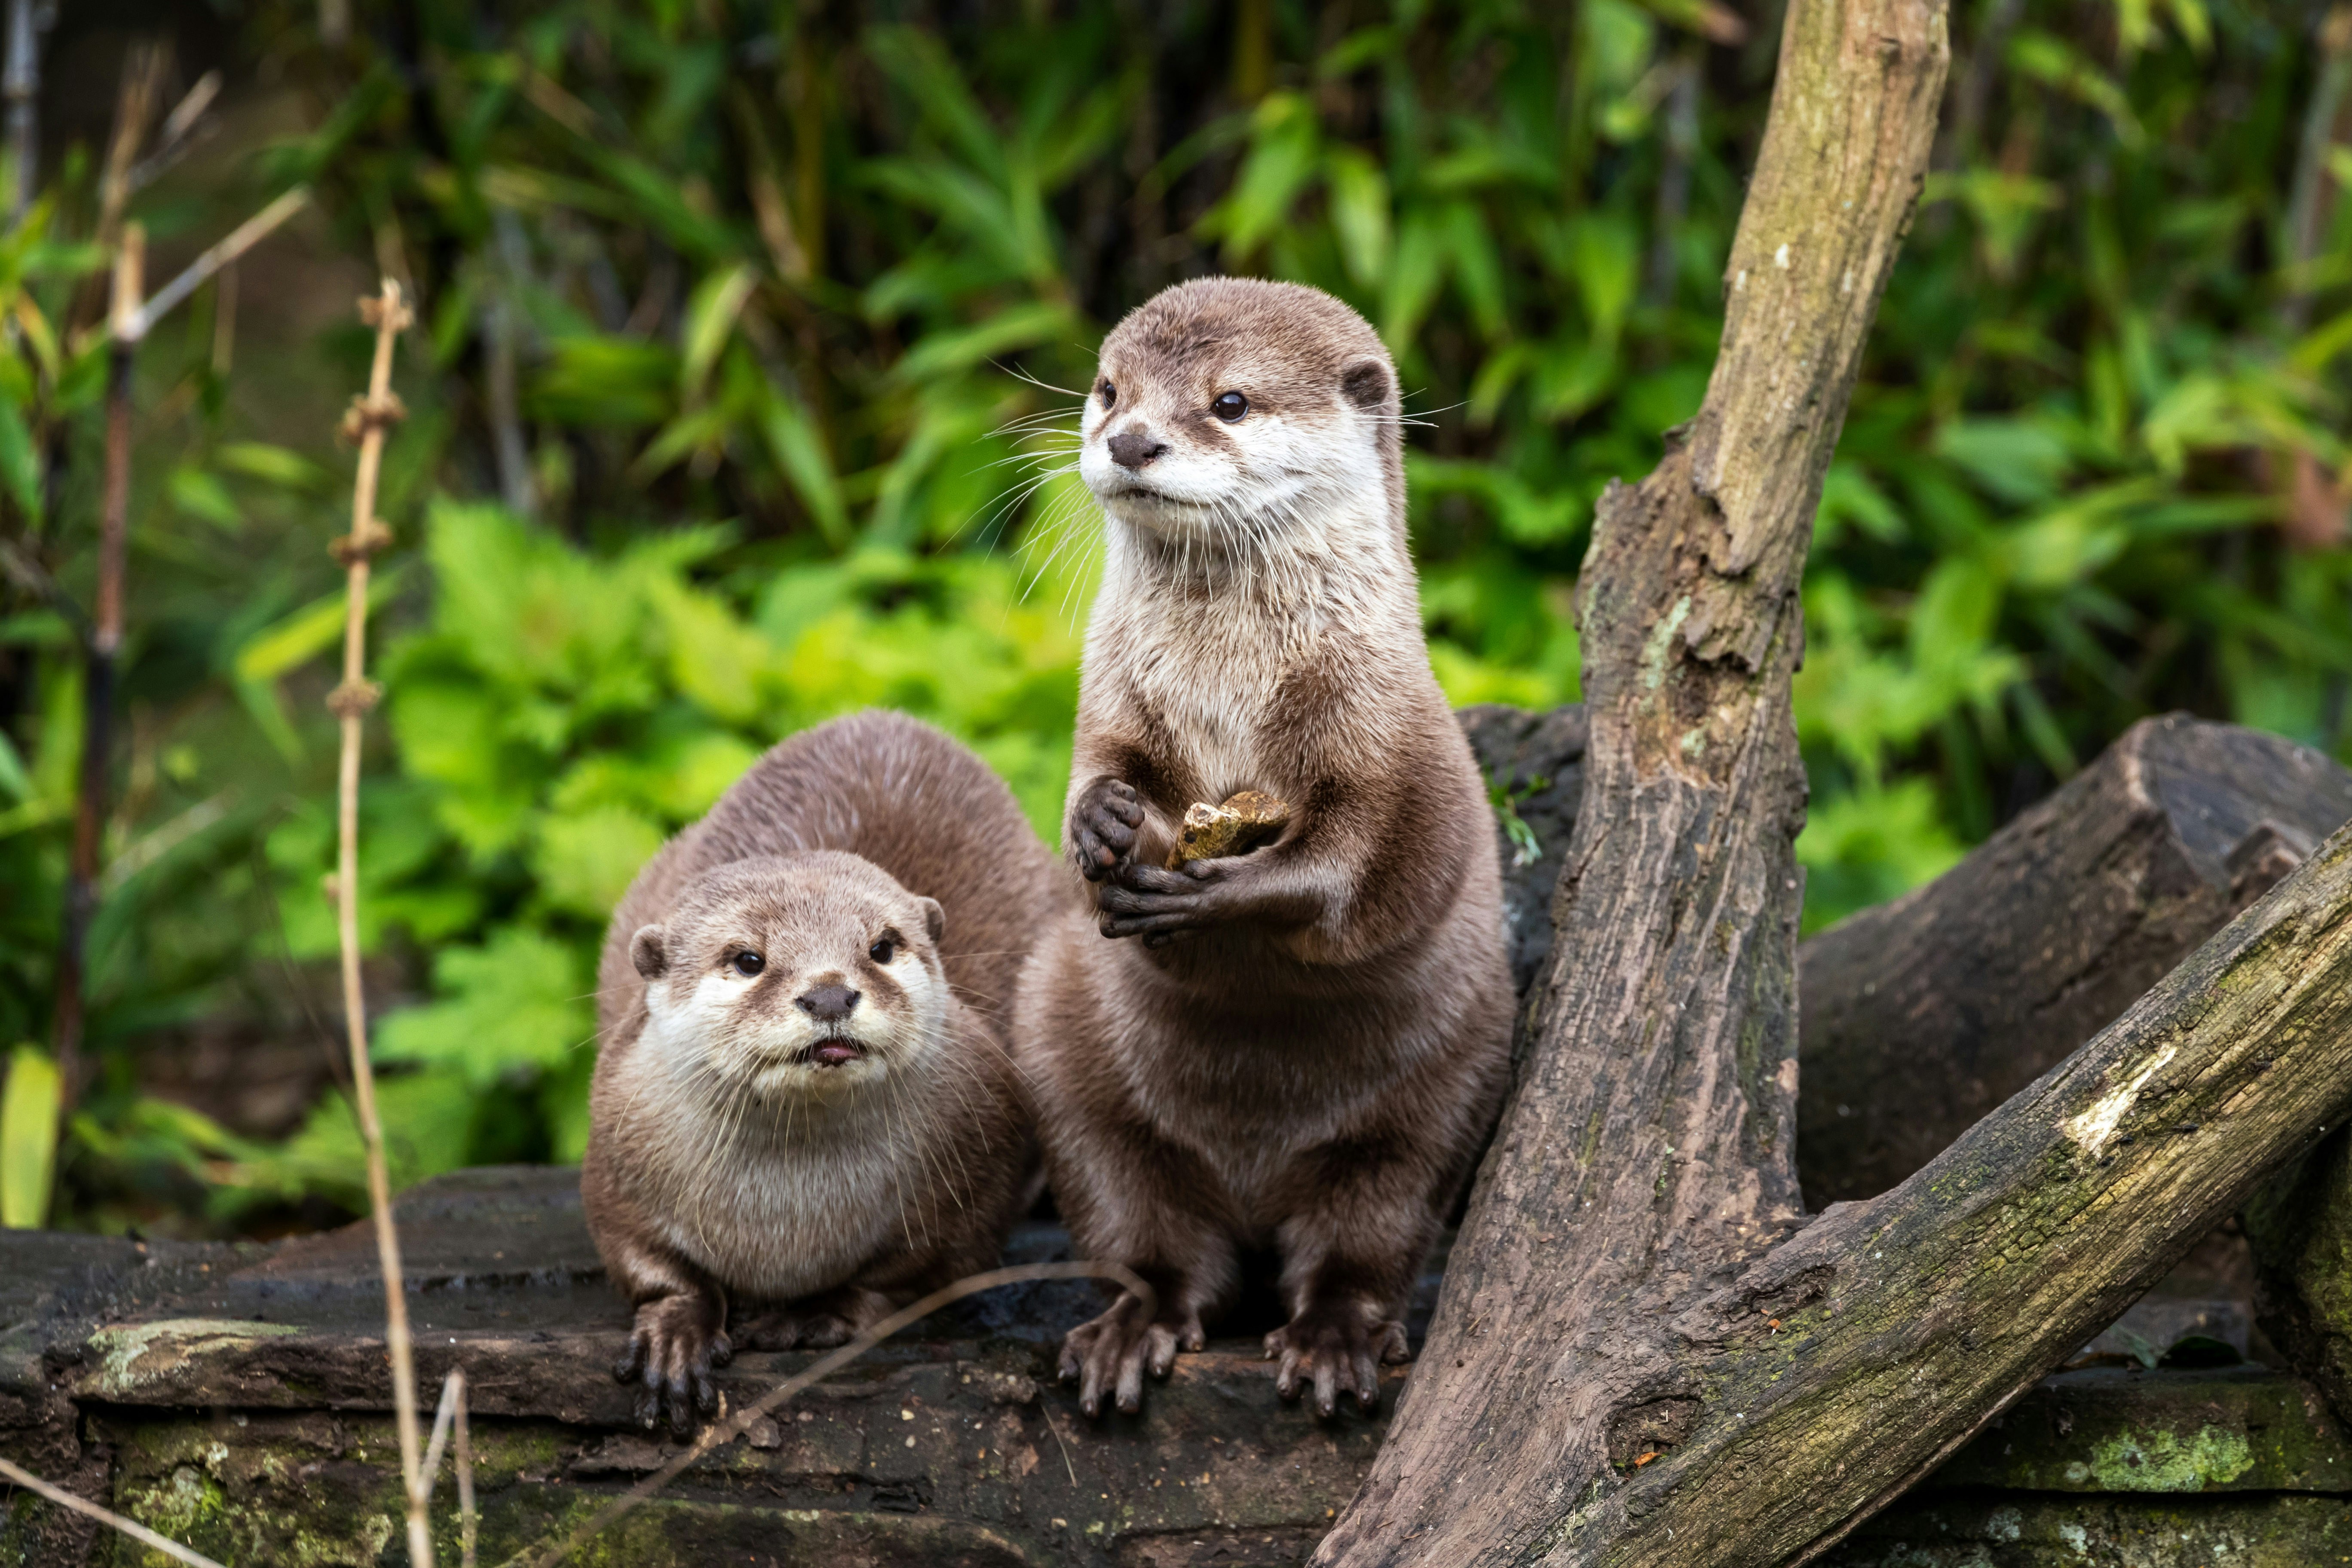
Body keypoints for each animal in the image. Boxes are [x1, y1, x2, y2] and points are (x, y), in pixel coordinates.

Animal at [584, 710, 1056, 1433]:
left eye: (882, 947)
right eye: (748, 959)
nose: (830, 994)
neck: (789, 1226)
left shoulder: (976, 1180)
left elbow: (908, 1281)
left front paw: (814, 1313)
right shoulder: (616, 1148)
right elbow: (650, 1263)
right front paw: (677, 1332)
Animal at [1014, 278, 1513, 1420]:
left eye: (1230, 401)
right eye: (1109, 389)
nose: (1131, 440)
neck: (1232, 689)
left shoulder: (1383, 729)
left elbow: (1355, 865)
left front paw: (1215, 896)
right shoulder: (1112, 695)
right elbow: (1095, 773)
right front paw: (1104, 825)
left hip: (1437, 1098)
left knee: (1363, 1239)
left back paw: (1333, 1342)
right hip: (1068, 1073)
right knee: (1148, 1240)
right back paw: (1129, 1333)